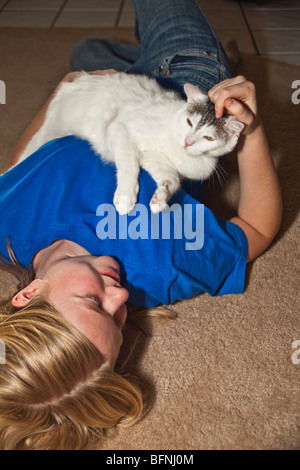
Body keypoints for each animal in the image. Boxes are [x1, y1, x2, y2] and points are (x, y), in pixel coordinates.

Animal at [17, 72, 244, 214]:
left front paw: (160, 199)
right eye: (189, 122)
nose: (188, 142)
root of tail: (72, 82)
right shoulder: (121, 130)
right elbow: (129, 165)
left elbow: (172, 180)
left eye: (209, 138)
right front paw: (126, 196)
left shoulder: (155, 160)